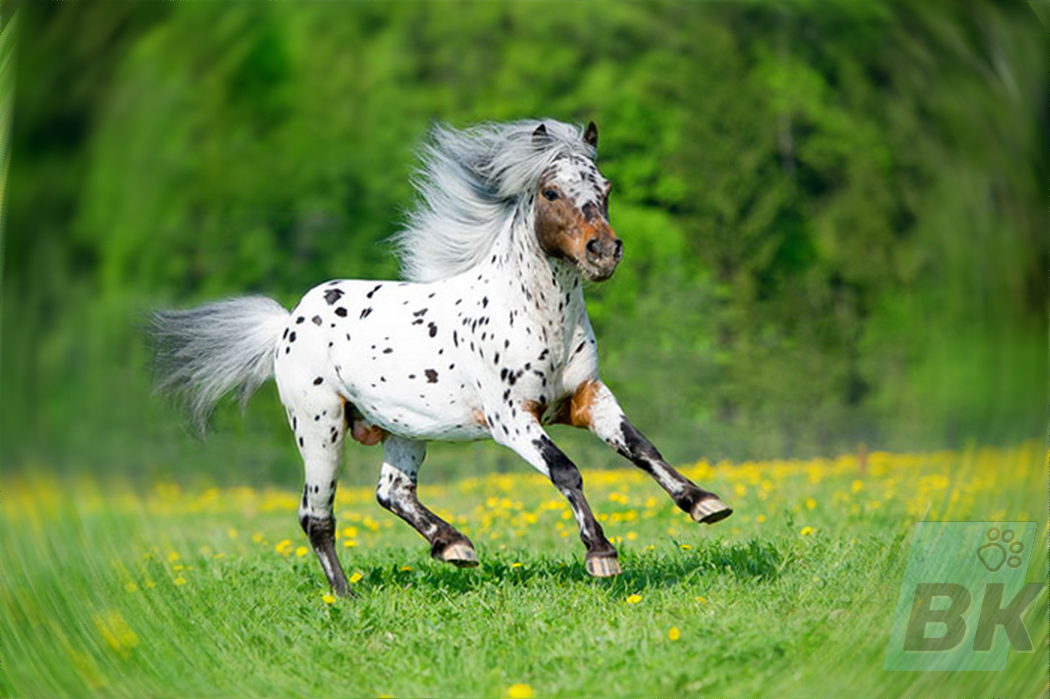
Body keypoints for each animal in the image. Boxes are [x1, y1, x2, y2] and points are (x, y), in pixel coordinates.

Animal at [150, 119, 732, 597]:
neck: (535, 316)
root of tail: (288, 322)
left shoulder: (588, 399)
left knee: (391, 492)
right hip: (320, 428)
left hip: (405, 429)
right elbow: (567, 471)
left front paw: (704, 503)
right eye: (551, 191)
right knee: (316, 516)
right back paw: (347, 597)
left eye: (605, 189)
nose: (604, 252)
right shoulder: (512, 420)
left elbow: (641, 448)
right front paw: (601, 554)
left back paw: (454, 546)